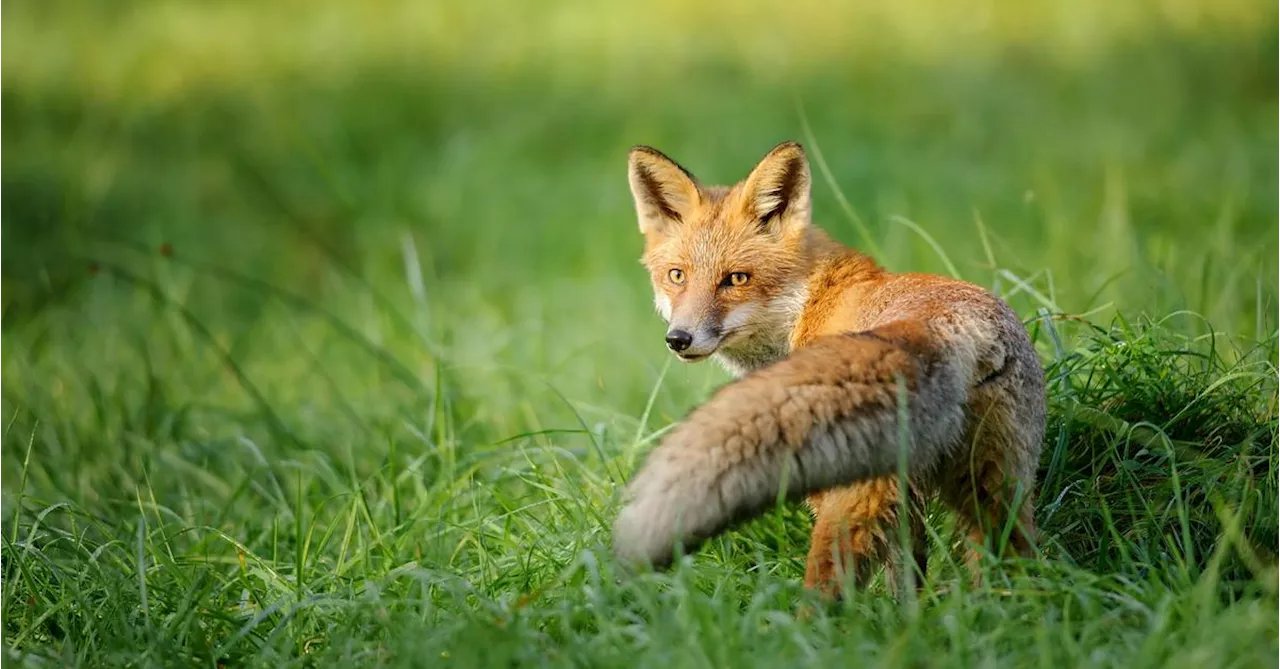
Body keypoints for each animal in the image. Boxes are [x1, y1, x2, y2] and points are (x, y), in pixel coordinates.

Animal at [614, 141, 1044, 596]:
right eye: (677, 276)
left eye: (737, 279)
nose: (679, 339)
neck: (807, 303)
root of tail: (948, 329)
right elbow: (905, 583)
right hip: (998, 491)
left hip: (849, 505)